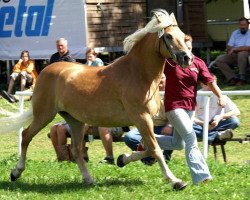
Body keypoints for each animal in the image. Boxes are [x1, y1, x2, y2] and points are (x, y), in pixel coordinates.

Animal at [0, 9, 193, 191]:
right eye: (168, 36)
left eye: (184, 36)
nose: (187, 58)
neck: (138, 74)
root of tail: (46, 70)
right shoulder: (142, 118)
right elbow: (155, 149)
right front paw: (176, 181)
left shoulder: (146, 121)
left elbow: (146, 148)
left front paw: (122, 159)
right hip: (44, 115)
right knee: (26, 136)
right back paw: (16, 172)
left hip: (75, 120)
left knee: (76, 149)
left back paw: (88, 179)